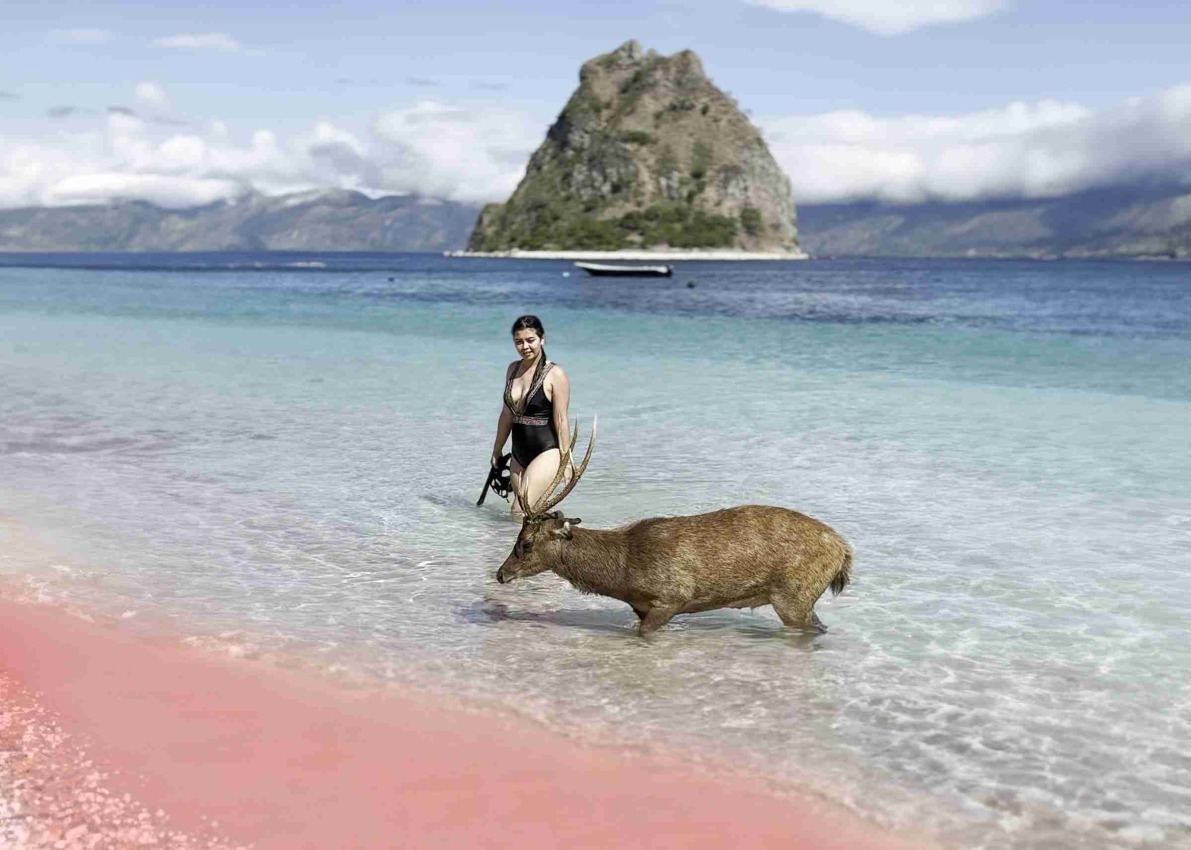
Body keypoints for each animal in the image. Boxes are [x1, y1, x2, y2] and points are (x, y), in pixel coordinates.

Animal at [495, 416, 857, 638]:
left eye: (526, 542)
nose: (500, 574)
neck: (623, 573)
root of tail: (844, 552)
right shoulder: (643, 607)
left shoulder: (672, 597)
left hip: (794, 595)